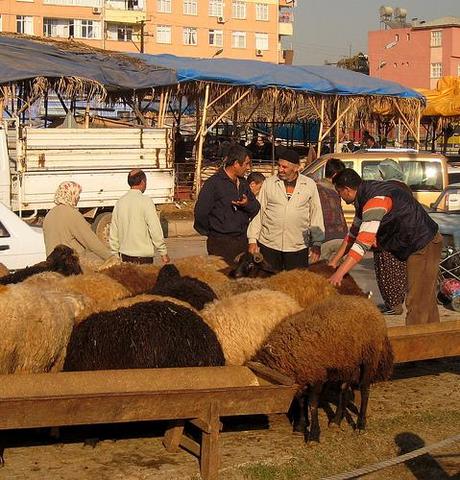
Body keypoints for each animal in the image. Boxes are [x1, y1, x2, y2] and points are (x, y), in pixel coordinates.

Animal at [253, 296, 394, 442]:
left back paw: (360, 425)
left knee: (365, 389)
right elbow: (301, 401)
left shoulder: (317, 374)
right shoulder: (303, 375)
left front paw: (313, 435)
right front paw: (300, 427)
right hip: (347, 362)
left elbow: (312, 403)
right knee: (343, 389)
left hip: (369, 356)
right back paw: (336, 420)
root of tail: (369, 304)